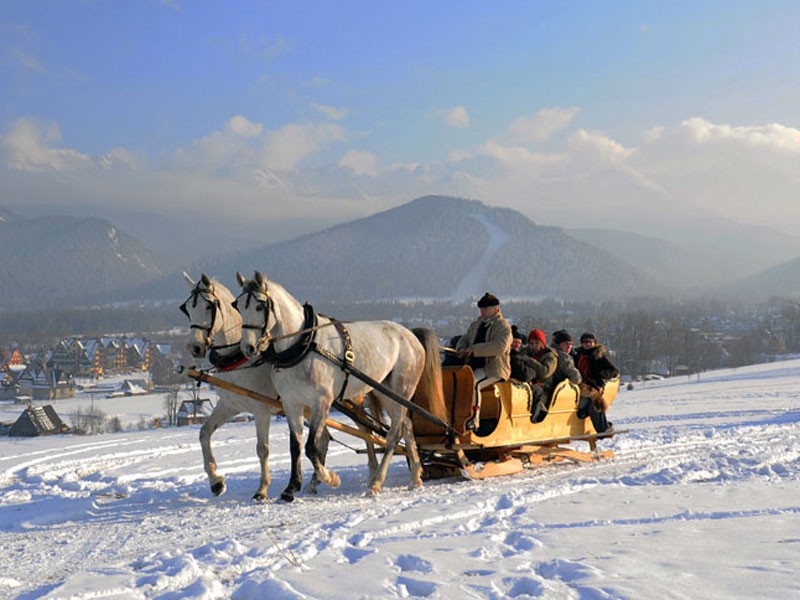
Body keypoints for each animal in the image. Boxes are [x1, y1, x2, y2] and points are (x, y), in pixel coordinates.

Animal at [180, 272, 330, 501]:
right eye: (187, 308)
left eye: (209, 306)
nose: (195, 347)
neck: (238, 359)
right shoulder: (229, 405)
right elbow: (204, 433)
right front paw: (216, 483)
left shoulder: (261, 409)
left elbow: (262, 448)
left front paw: (262, 489)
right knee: (324, 438)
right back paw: (315, 481)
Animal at [234, 270, 446, 498]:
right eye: (238, 306)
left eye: (259, 306)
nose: (248, 348)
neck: (303, 345)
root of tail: (410, 333)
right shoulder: (292, 404)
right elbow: (295, 446)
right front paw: (291, 488)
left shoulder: (321, 402)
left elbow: (311, 447)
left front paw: (330, 478)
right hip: (385, 391)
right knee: (406, 426)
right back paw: (415, 477)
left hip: (403, 387)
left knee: (394, 433)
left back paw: (376, 483)